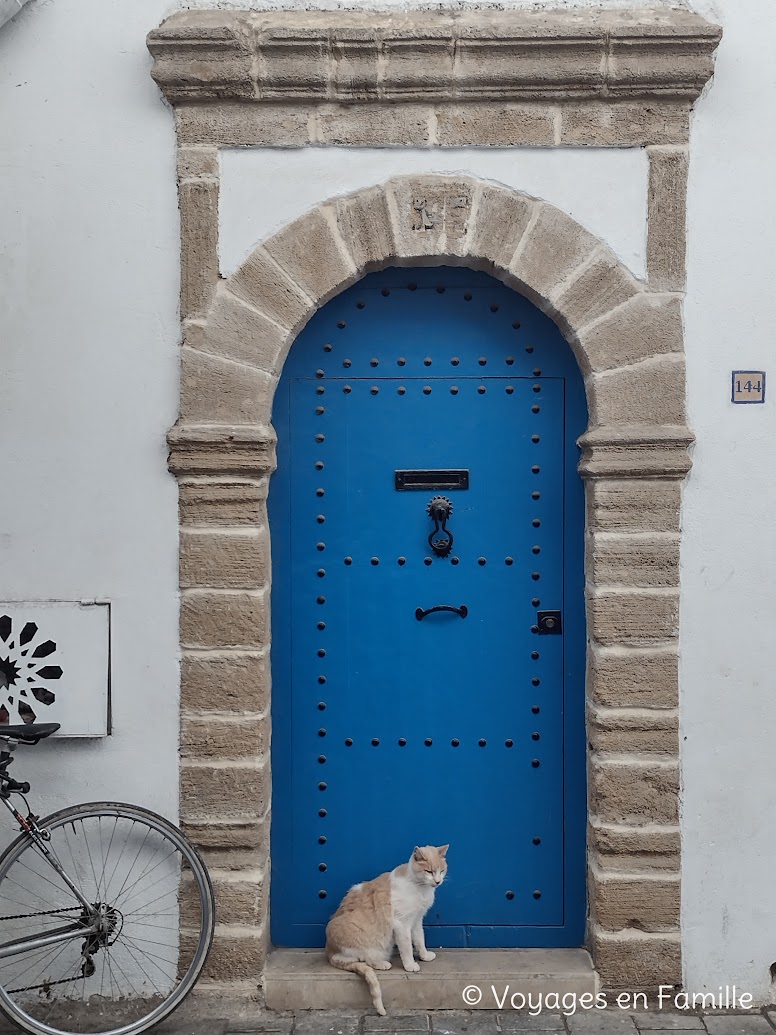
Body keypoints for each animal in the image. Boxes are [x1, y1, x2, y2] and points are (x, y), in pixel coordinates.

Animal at [326, 844, 449, 1014]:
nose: (438, 881)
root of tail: (329, 951)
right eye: (429, 871)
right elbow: (407, 948)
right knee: (364, 959)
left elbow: (420, 940)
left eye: (441, 871)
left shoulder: (417, 920)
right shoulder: (402, 924)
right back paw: (382, 964)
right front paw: (410, 965)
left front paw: (424, 956)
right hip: (363, 939)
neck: (420, 888)